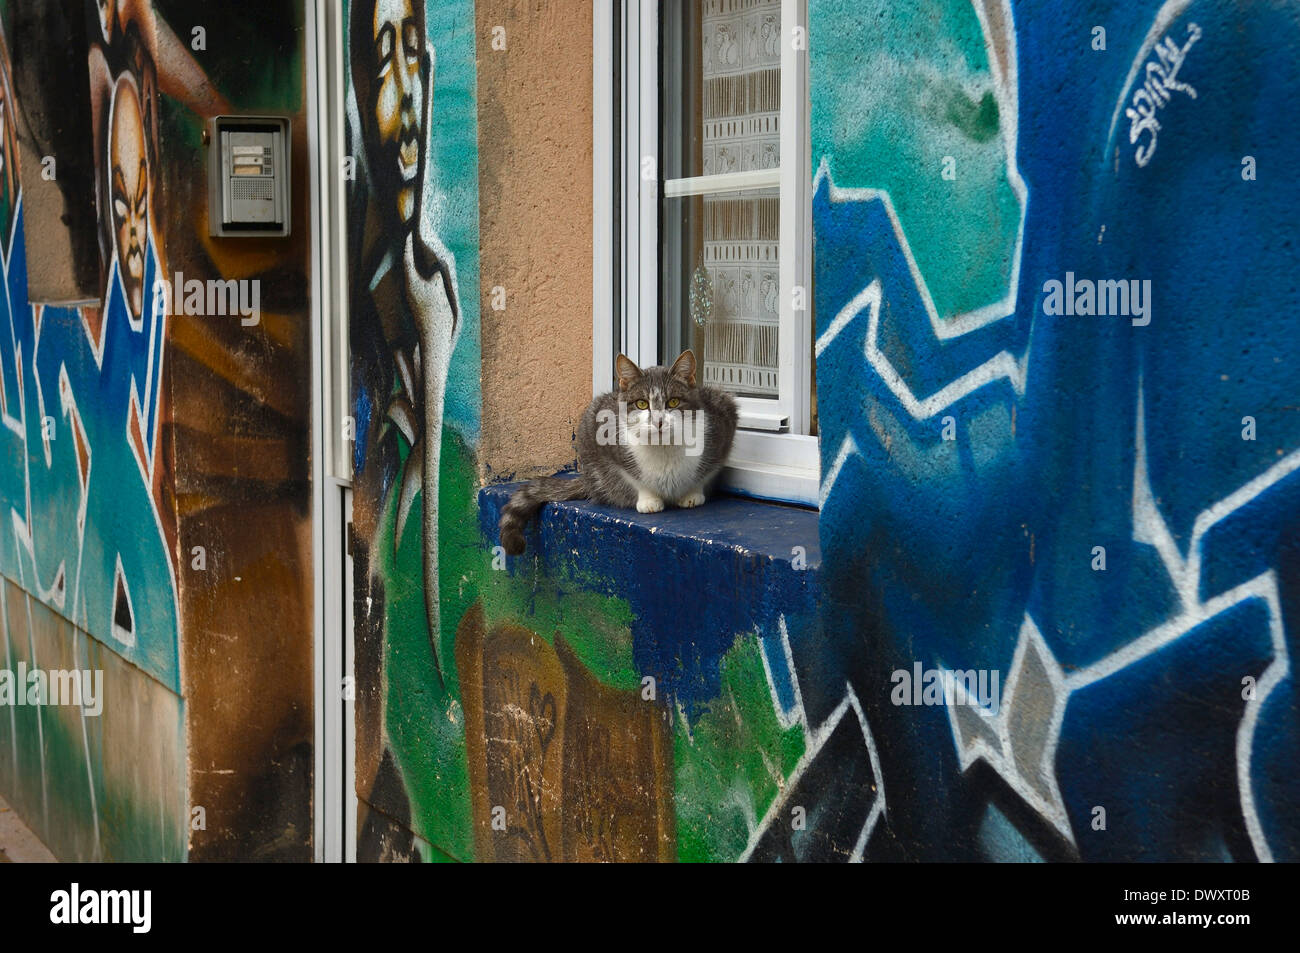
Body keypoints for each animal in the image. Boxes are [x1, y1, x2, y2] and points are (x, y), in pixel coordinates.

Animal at [496, 348, 738, 556]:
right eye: (642, 404)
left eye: (673, 401)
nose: (658, 421)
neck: (663, 448)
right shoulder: (600, 435)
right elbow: (633, 478)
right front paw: (648, 499)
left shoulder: (723, 423)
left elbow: (706, 472)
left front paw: (692, 494)